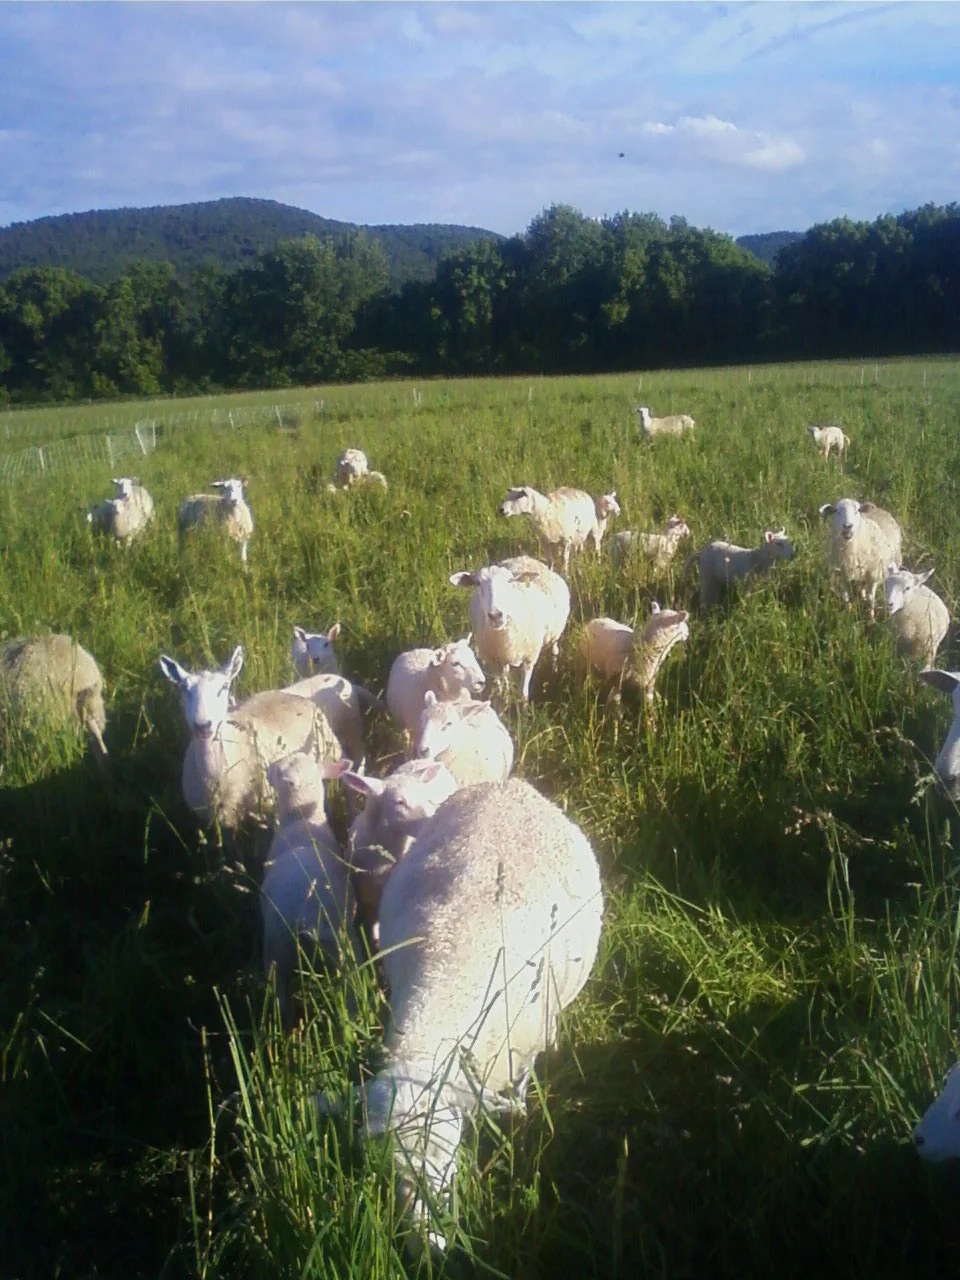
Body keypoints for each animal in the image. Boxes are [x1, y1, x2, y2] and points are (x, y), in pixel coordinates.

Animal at [261, 752, 359, 1027]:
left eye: (277, 770)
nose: (268, 770)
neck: (302, 821)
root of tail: (305, 917)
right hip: (333, 944)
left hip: (277, 946)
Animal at [449, 554, 571, 701]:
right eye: (477, 583)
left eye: (509, 581)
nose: (495, 615)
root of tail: (525, 558)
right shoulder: (493, 660)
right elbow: (500, 686)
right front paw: (504, 699)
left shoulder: (529, 658)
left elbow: (523, 692)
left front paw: (524, 705)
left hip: (555, 634)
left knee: (555, 650)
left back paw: (554, 670)